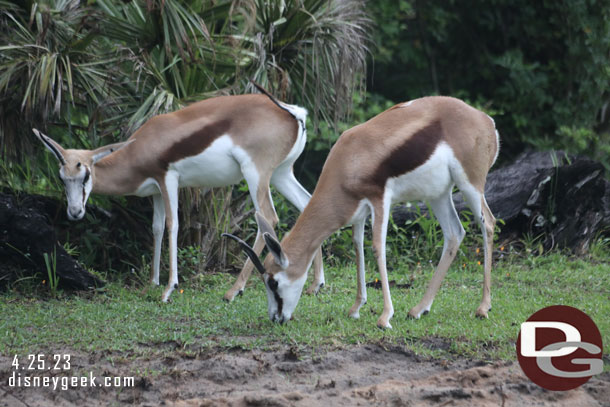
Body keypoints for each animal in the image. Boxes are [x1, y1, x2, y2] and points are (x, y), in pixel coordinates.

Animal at [34, 86, 324, 302]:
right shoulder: (155, 192)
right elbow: (157, 228)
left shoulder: (168, 179)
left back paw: (233, 291)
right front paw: (152, 283)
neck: (141, 147)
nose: (75, 212)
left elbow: (173, 225)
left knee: (268, 218)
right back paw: (316, 285)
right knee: (308, 205)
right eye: (62, 178)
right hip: (281, 174)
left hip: (256, 173)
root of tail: (292, 112)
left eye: (85, 175)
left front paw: (168, 289)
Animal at [224, 97, 498, 330]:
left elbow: (377, 247)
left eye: (273, 282)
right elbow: (358, 246)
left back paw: (483, 308)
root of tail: (486, 120)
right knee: (454, 233)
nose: (276, 317)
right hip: (438, 194)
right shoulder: (358, 211)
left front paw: (385, 317)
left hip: (470, 184)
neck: (349, 160)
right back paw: (419, 309)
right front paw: (356, 308)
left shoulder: (380, 199)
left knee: (489, 223)